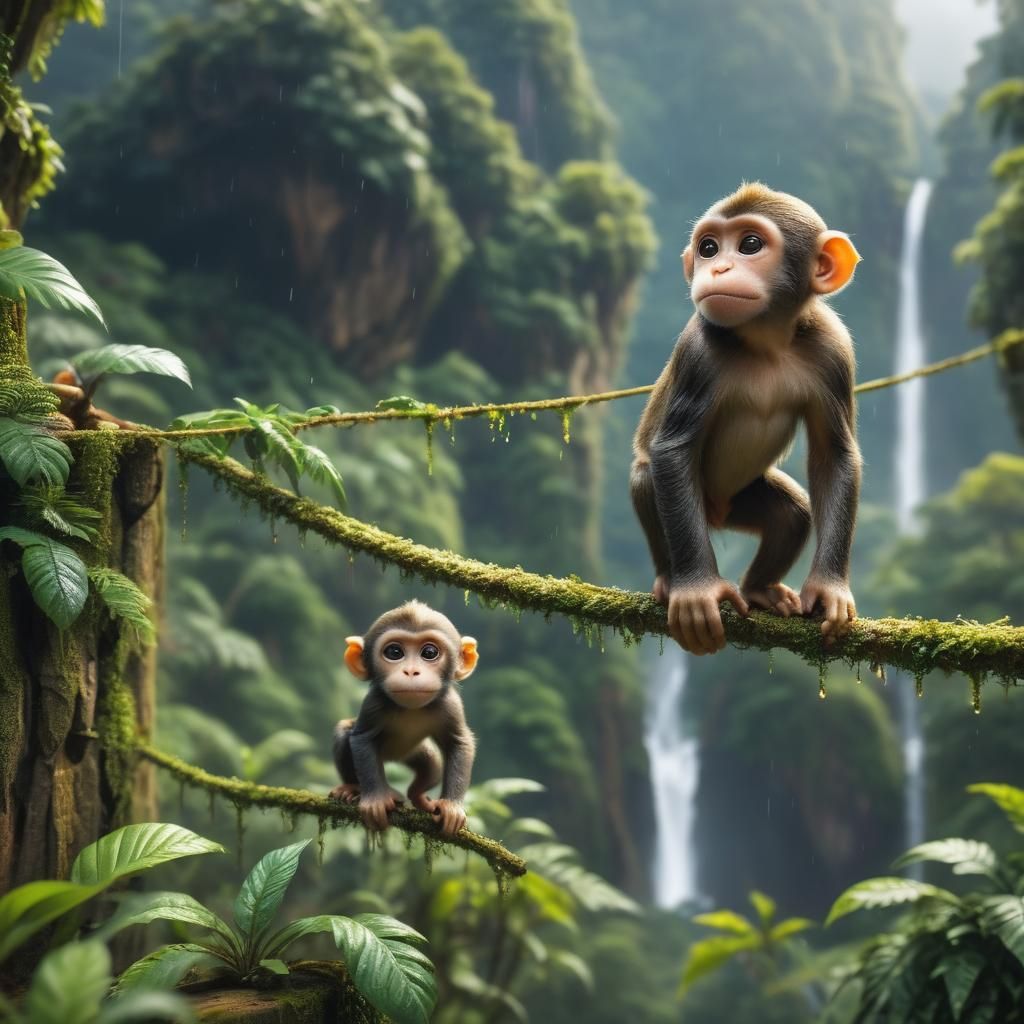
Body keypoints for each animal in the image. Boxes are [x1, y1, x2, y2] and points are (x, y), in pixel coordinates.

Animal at [330, 600, 478, 835]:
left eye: (429, 652)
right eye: (394, 652)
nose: (411, 671)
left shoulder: (450, 705)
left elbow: (458, 742)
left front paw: (451, 807)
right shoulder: (374, 703)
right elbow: (362, 739)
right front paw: (375, 801)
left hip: (415, 752)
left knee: (432, 765)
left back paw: (418, 796)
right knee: (344, 733)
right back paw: (353, 788)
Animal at [631, 182, 862, 656]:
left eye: (750, 245)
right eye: (708, 247)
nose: (717, 267)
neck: (765, 342)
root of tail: (716, 514)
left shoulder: (832, 349)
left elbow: (834, 456)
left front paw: (829, 588)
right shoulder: (698, 351)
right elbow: (673, 450)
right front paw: (696, 591)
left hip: (742, 500)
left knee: (792, 512)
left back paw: (759, 588)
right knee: (649, 477)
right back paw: (671, 580)